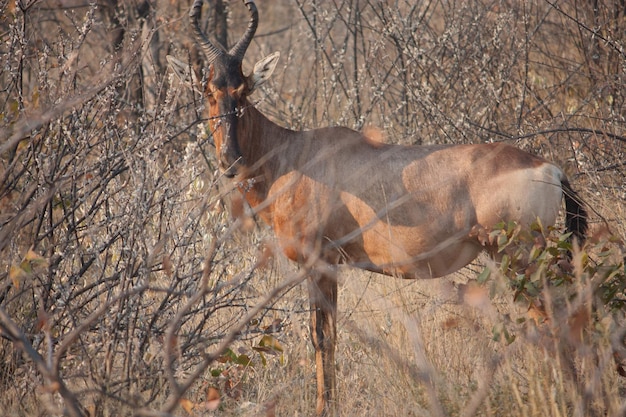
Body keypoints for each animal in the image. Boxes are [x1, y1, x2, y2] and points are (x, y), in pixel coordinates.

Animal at [185, 1, 584, 414]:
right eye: (208, 91)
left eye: (244, 91)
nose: (230, 161)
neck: (294, 155)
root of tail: (551, 169)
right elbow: (328, 335)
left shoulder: (319, 263)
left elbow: (321, 336)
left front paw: (324, 407)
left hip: (522, 258)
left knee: (556, 321)